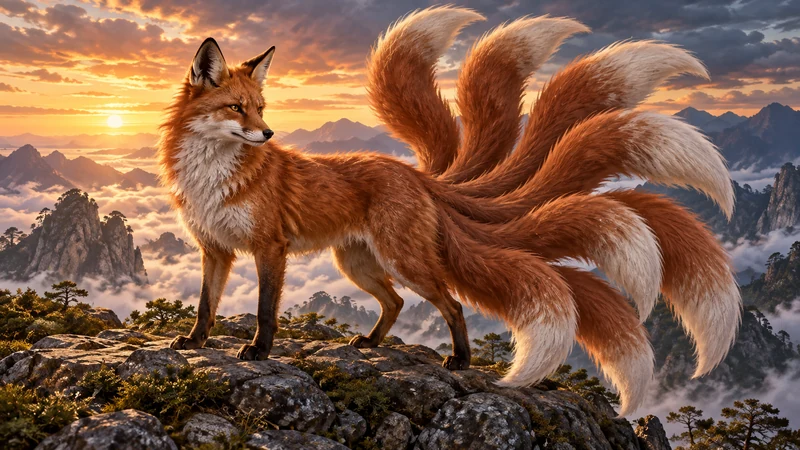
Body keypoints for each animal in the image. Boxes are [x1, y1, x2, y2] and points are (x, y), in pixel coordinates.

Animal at [159, 6, 742, 416]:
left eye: (261, 109)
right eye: (237, 108)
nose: (269, 135)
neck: (215, 176)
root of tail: (418, 175)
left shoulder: (270, 248)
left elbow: (263, 311)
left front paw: (259, 351)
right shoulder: (214, 249)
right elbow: (206, 306)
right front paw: (193, 343)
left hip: (402, 261)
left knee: (452, 304)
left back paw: (458, 360)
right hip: (361, 263)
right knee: (396, 303)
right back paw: (371, 342)